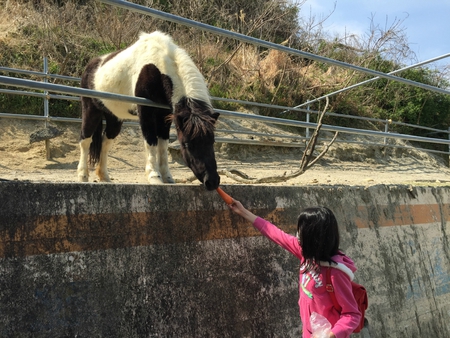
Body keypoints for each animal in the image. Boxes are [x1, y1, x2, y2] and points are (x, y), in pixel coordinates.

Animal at [78, 31, 221, 190]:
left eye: (212, 141)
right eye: (187, 145)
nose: (212, 181)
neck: (157, 68)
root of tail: (91, 65)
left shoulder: (165, 115)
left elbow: (163, 145)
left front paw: (167, 177)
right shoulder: (146, 112)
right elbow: (151, 140)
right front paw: (154, 176)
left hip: (114, 117)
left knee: (105, 142)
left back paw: (104, 177)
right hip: (91, 110)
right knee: (85, 139)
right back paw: (82, 176)